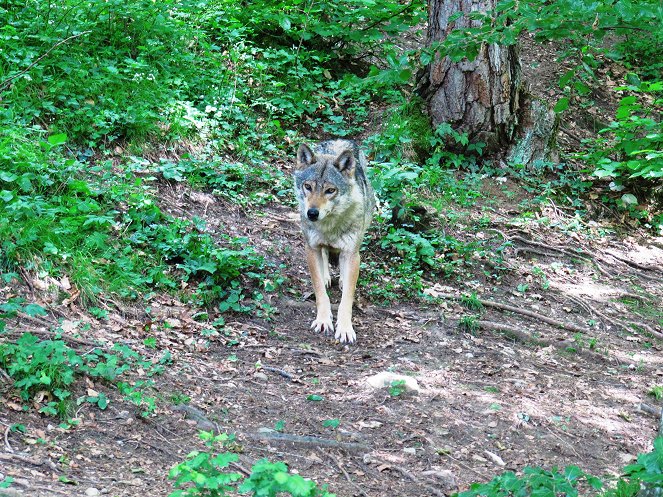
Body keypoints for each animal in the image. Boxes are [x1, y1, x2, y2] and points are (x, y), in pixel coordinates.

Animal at [294, 138, 376, 342]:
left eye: (330, 190)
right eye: (308, 186)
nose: (312, 213)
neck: (330, 227)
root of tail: (339, 140)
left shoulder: (351, 253)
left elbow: (347, 298)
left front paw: (345, 328)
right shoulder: (311, 248)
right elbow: (319, 291)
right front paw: (323, 320)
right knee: (324, 255)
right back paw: (326, 277)